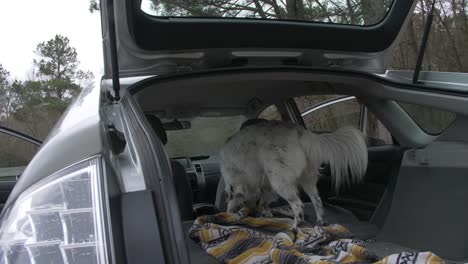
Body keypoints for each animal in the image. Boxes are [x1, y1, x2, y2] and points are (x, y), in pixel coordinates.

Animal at [220, 120, 370, 228]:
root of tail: (300, 133)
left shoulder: (236, 181)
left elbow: (233, 201)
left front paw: (229, 214)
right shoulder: (263, 184)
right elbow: (262, 199)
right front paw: (263, 211)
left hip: (280, 181)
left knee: (298, 205)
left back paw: (295, 225)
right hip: (307, 180)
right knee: (317, 200)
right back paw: (321, 221)